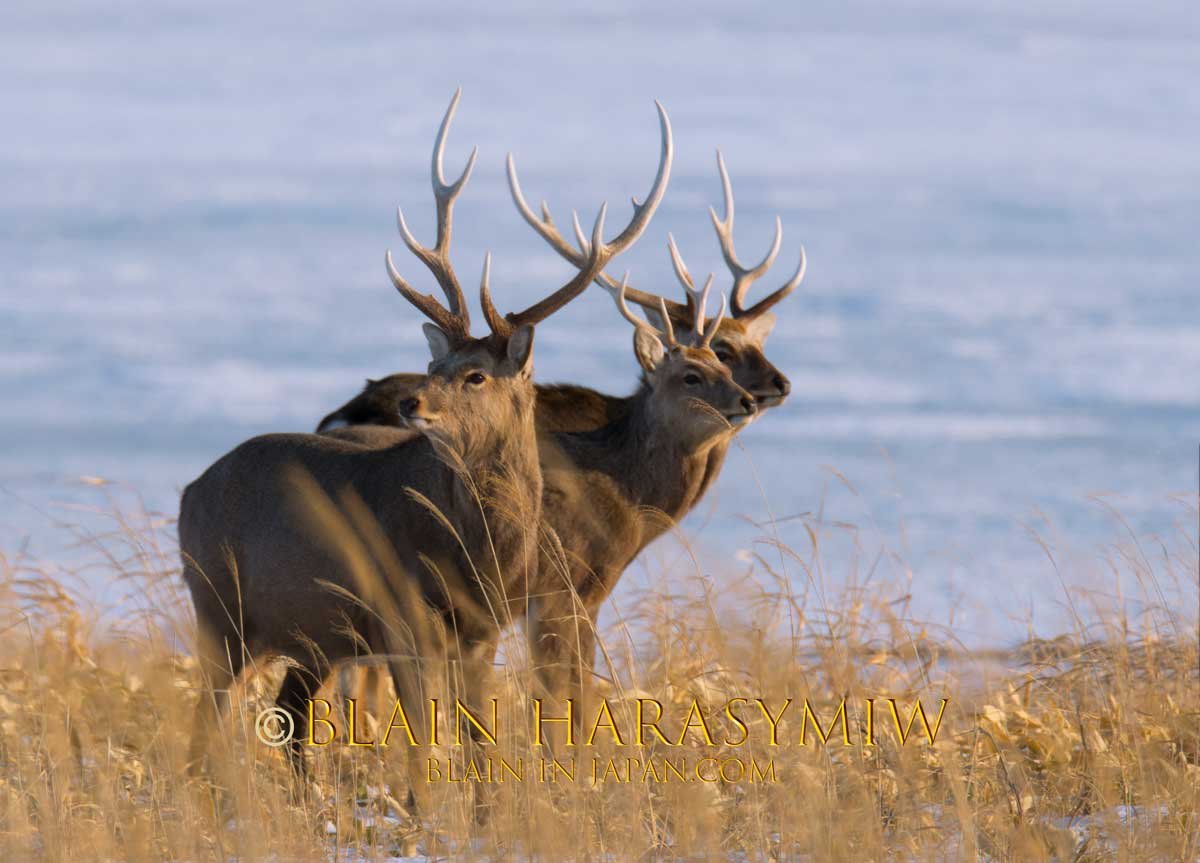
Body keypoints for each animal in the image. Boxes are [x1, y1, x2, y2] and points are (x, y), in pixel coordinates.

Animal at [175, 91, 676, 806]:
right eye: (434, 365)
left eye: (476, 375)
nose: (411, 403)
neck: (480, 553)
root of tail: (188, 493)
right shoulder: (402, 614)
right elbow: (422, 742)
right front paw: (429, 808)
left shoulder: (483, 630)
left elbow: (478, 739)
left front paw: (489, 811)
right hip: (218, 604)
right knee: (209, 720)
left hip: (300, 632)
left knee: (282, 714)